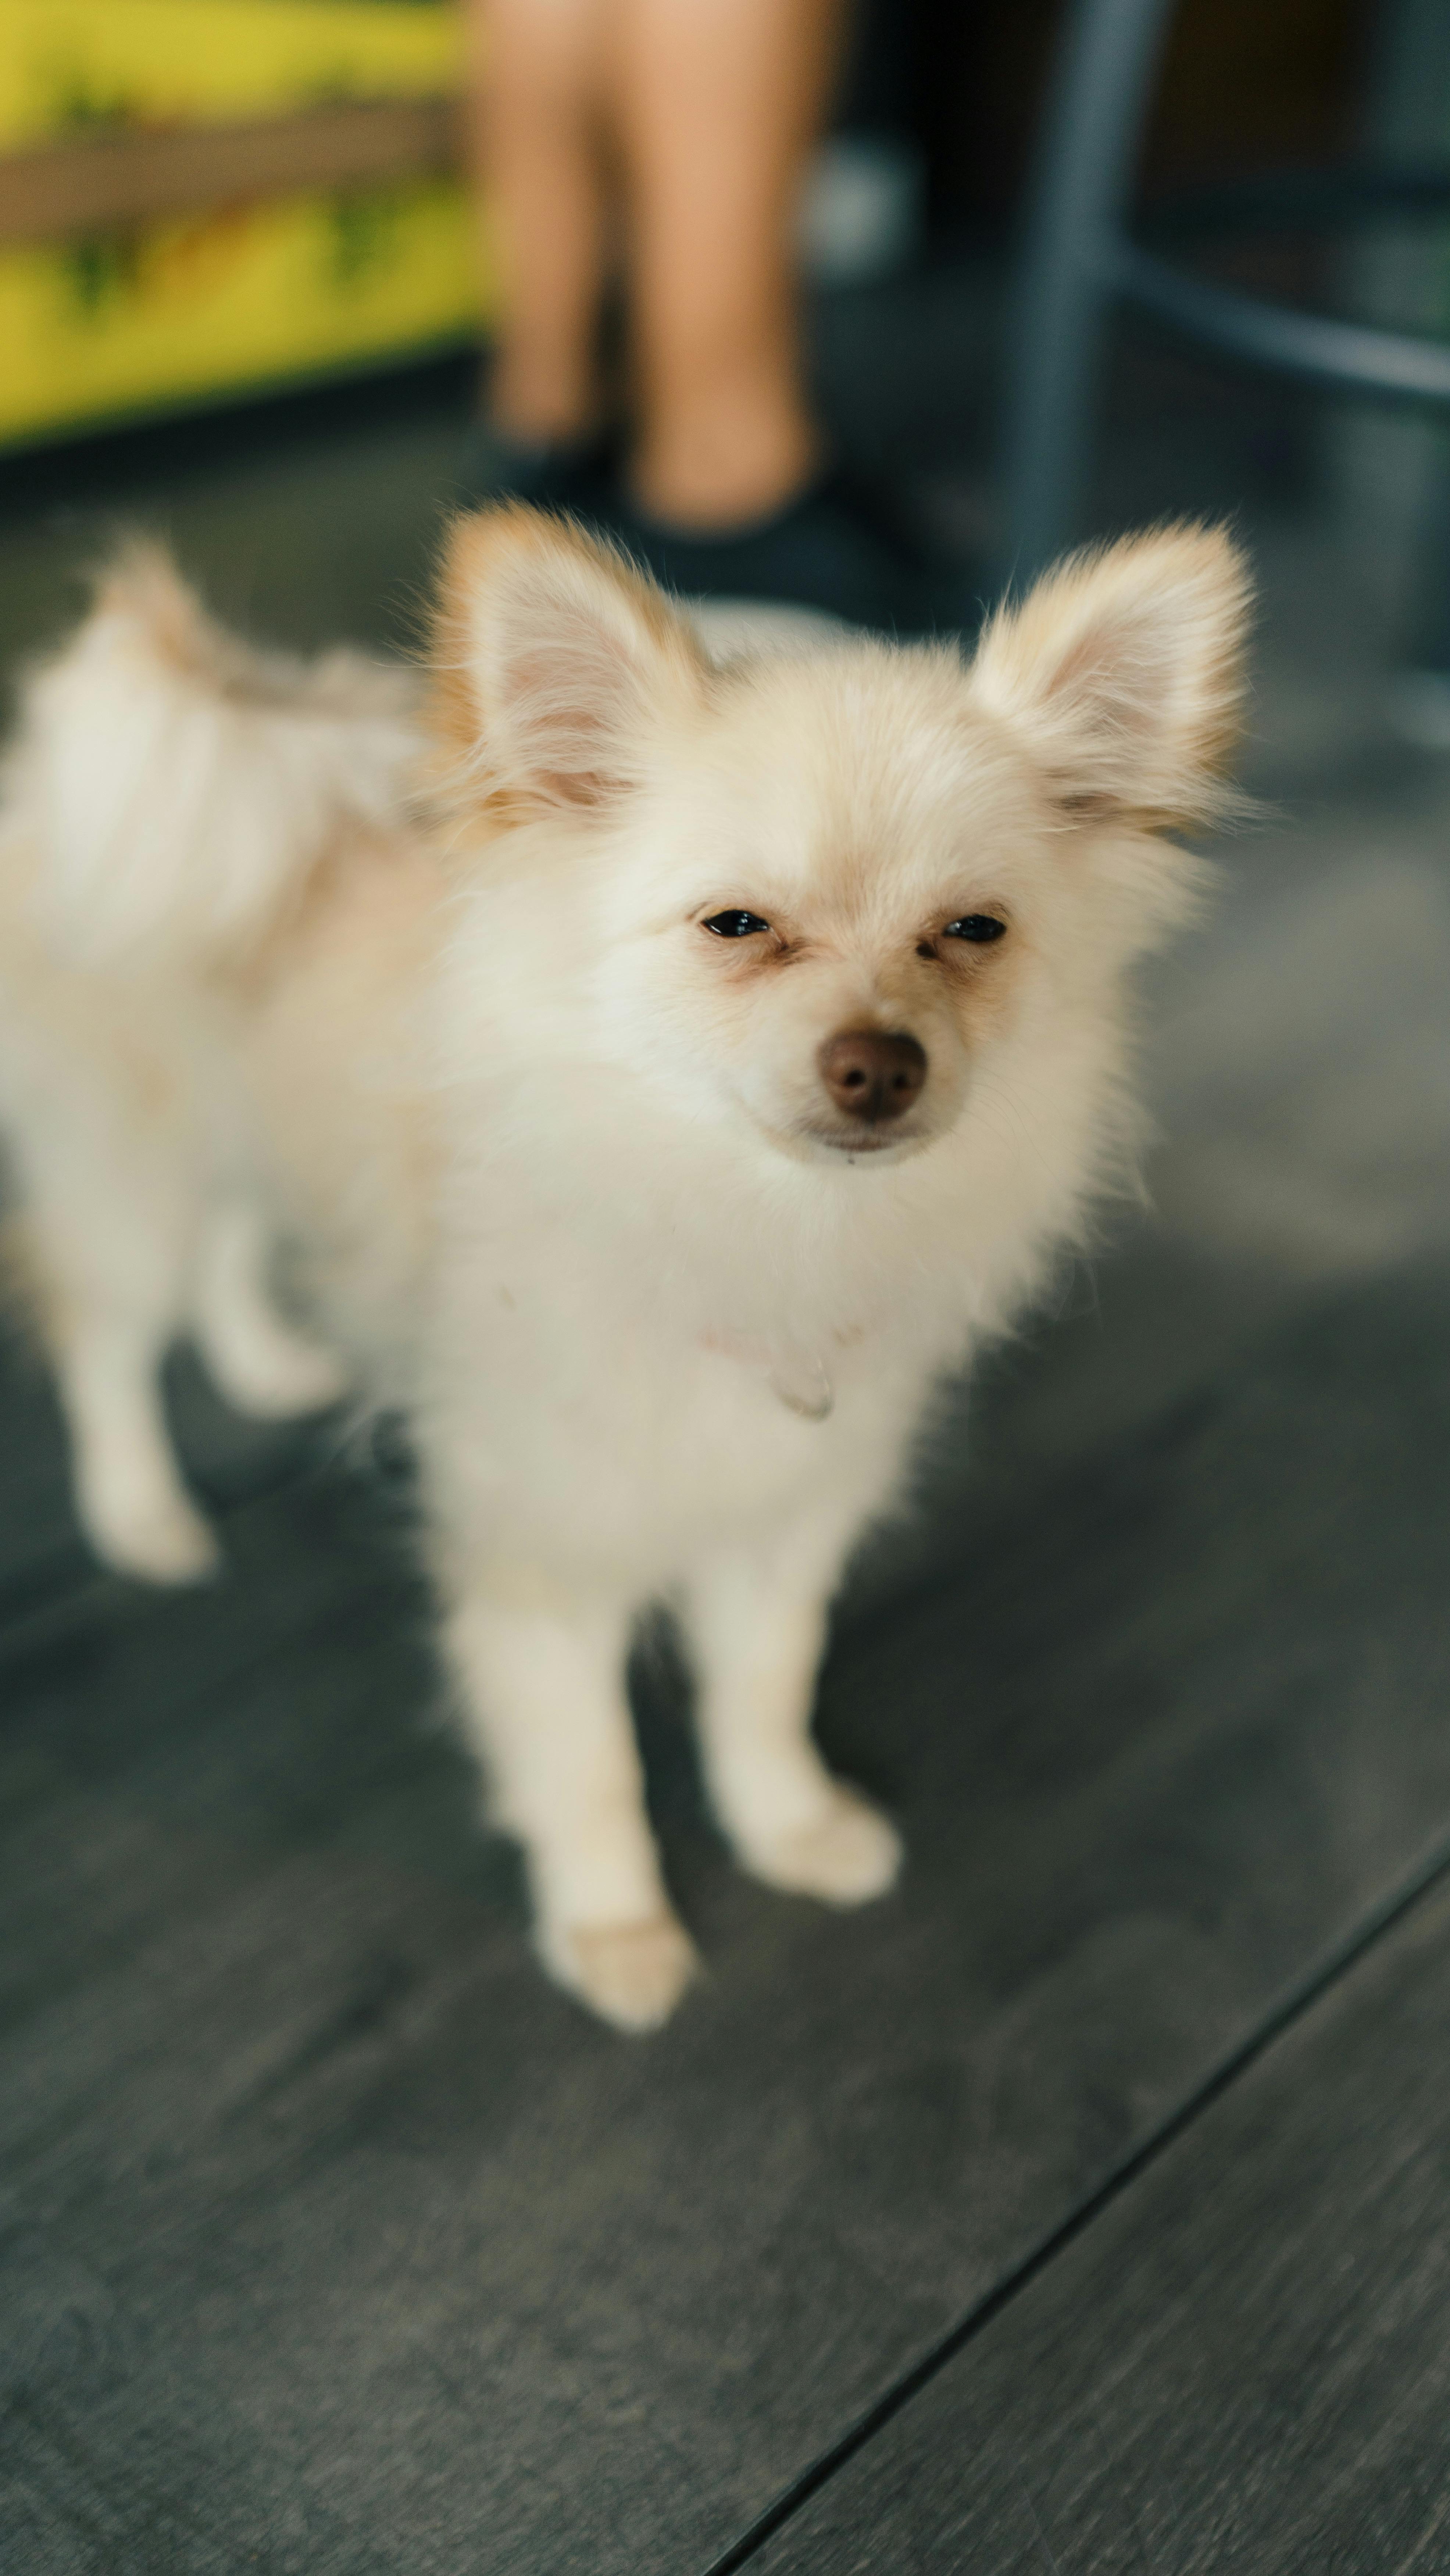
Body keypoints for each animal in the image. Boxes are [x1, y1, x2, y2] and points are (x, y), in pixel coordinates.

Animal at [0, 507, 1246, 2030]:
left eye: (972, 931)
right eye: (735, 927)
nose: (879, 1063)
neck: (748, 1220)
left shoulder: (782, 1521)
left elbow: (761, 1693)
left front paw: (791, 1828)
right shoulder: (545, 1558)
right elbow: (587, 1765)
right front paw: (613, 1933)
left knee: (236, 1243)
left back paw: (264, 1360)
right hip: (135, 1176)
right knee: (107, 1337)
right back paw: (143, 1515)